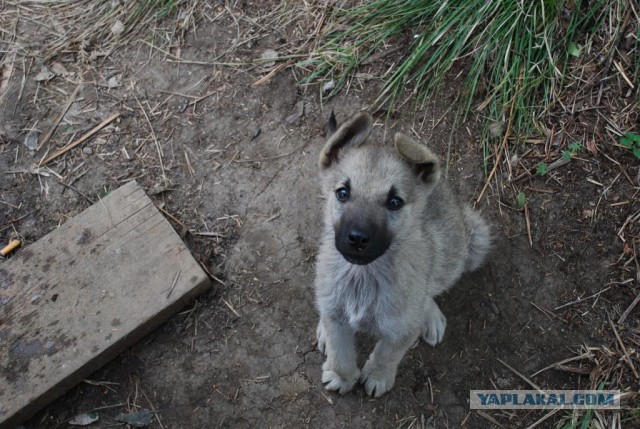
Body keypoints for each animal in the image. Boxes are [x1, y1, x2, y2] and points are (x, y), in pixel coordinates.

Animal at [314, 111, 490, 398]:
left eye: (394, 202)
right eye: (343, 193)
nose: (357, 239)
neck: (363, 276)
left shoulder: (401, 332)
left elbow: (387, 354)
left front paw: (378, 376)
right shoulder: (336, 316)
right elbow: (340, 349)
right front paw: (341, 375)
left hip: (467, 247)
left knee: (432, 287)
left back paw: (430, 316)